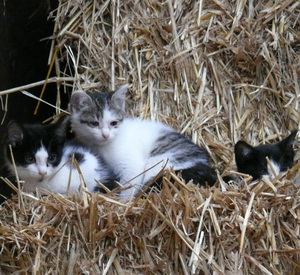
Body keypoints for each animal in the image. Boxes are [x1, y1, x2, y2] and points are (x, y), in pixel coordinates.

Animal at [69, 84, 217, 198]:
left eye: (113, 123)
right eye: (94, 123)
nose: (105, 135)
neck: (103, 146)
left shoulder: (132, 165)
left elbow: (129, 185)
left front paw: (123, 203)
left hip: (160, 163)